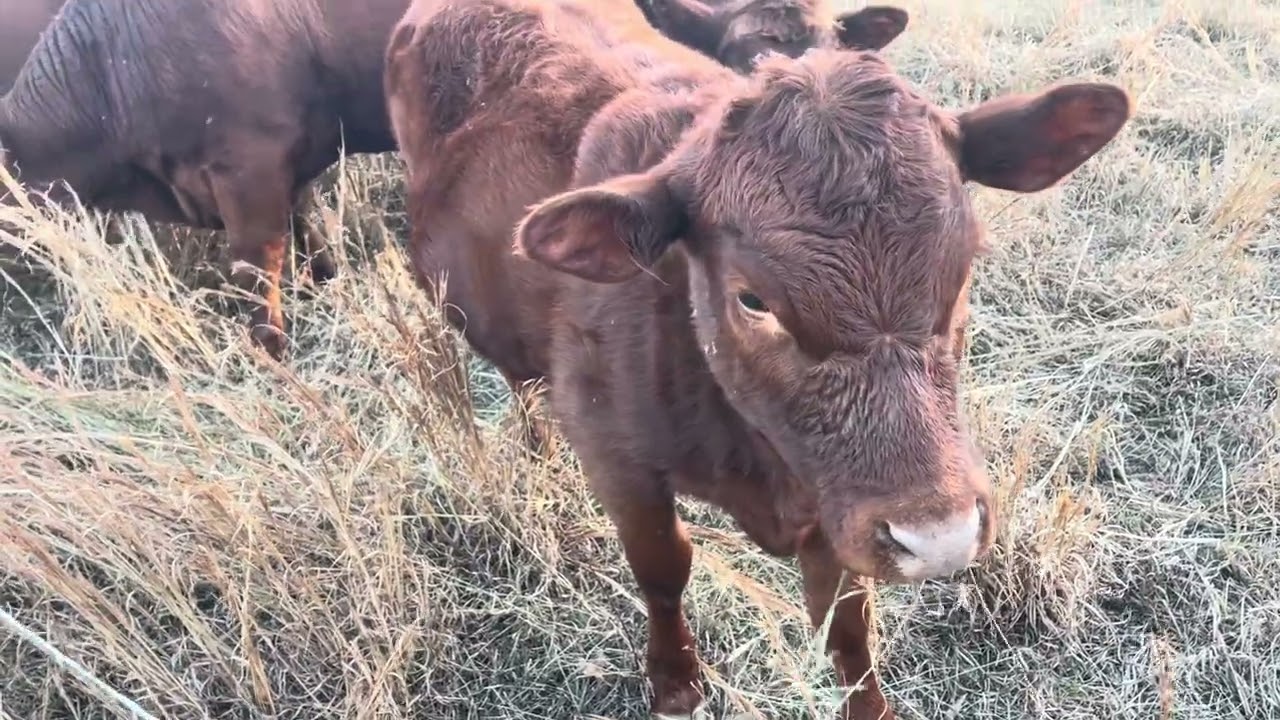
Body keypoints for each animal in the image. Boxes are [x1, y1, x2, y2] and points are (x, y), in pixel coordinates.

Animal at [387, 0, 1131, 716]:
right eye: (753, 299)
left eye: (966, 262)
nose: (939, 536)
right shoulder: (616, 459)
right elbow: (663, 567)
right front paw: (675, 682)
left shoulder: (837, 503)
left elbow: (847, 622)